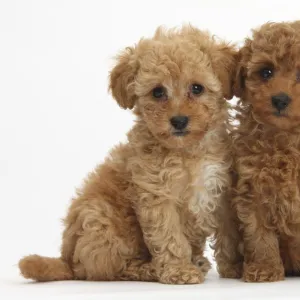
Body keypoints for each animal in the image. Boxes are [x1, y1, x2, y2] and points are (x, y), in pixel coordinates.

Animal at [18, 25, 237, 284]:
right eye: (157, 92)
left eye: (196, 88)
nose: (179, 120)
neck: (188, 152)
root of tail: (67, 260)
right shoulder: (157, 196)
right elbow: (169, 238)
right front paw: (179, 270)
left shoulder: (221, 190)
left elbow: (229, 233)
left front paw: (235, 266)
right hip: (103, 220)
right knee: (113, 267)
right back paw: (151, 269)